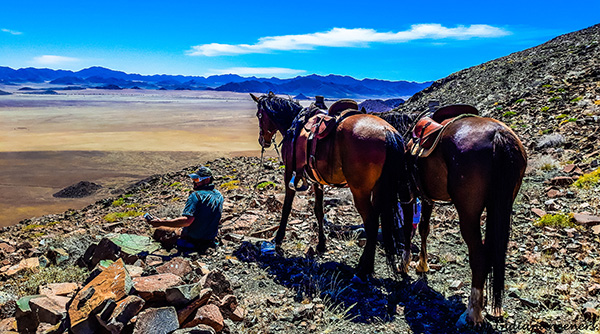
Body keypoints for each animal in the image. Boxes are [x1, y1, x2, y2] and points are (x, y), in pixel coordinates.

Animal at [251, 92, 414, 280]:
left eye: (259, 115)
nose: (262, 140)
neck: (293, 123)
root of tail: (388, 132)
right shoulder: (317, 181)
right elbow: (319, 211)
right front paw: (321, 244)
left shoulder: (290, 173)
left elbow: (287, 207)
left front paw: (278, 238)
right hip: (385, 188)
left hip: (360, 191)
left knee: (372, 222)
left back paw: (364, 268)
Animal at [386, 106, 528, 326]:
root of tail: (498, 135)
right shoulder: (428, 197)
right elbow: (424, 228)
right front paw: (422, 264)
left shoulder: (408, 193)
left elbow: (410, 228)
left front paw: (404, 264)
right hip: (499, 207)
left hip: (468, 212)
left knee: (479, 255)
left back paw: (473, 312)